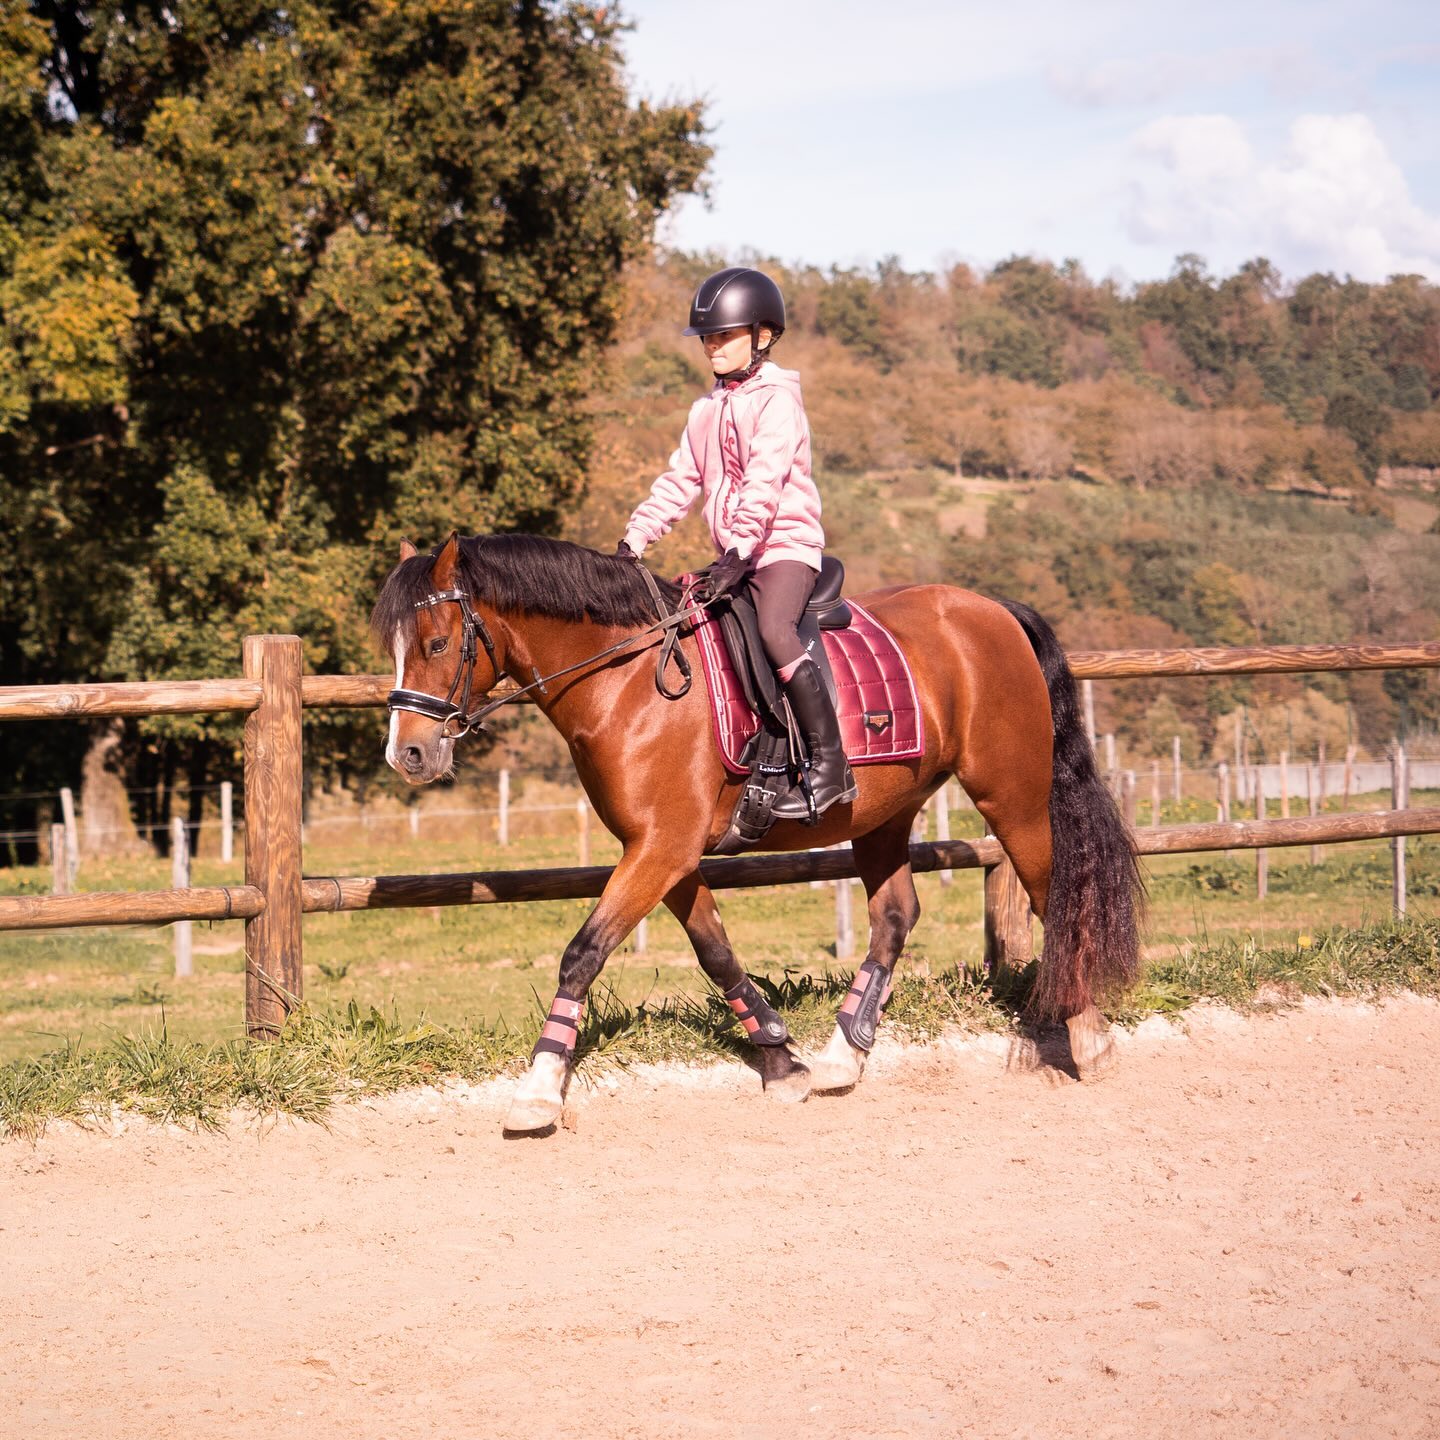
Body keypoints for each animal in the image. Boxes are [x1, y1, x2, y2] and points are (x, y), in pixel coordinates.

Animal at [377, 535, 1140, 1128]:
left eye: (438, 643)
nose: (407, 754)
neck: (629, 680)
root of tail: (993, 610)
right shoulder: (665, 852)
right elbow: (716, 952)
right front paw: (779, 1058)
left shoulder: (661, 849)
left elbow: (582, 954)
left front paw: (538, 1091)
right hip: (885, 812)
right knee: (896, 914)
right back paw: (842, 1057)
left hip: (1012, 797)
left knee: (1051, 896)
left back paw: (1088, 1038)